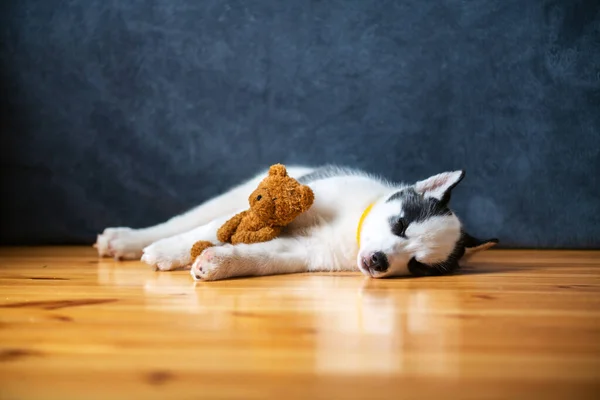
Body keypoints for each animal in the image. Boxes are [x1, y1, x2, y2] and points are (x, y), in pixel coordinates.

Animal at [95, 166, 496, 282]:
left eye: (416, 265)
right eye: (400, 225)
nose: (379, 261)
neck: (351, 233)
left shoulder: (302, 251)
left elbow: (262, 258)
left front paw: (218, 262)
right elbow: (207, 231)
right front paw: (168, 251)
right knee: (191, 220)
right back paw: (128, 240)